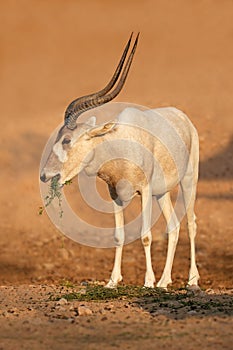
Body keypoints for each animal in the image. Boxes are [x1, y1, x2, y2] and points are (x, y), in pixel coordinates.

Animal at [40, 33, 200, 290]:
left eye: (66, 139)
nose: (45, 175)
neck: (115, 144)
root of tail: (183, 117)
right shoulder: (115, 194)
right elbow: (118, 235)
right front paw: (112, 281)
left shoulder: (144, 191)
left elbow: (146, 236)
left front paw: (147, 282)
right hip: (162, 193)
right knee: (174, 226)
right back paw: (164, 281)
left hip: (188, 180)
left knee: (191, 223)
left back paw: (192, 280)